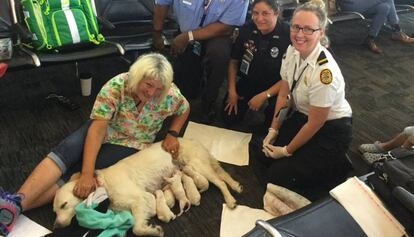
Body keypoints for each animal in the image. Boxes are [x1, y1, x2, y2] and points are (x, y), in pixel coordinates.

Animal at [53, 138, 241, 236]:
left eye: (64, 205)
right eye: (54, 211)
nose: (55, 226)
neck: (103, 184)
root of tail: (194, 141)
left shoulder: (140, 198)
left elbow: (136, 228)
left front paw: (154, 230)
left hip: (197, 165)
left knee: (220, 182)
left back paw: (231, 200)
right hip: (200, 166)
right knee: (223, 175)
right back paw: (236, 186)